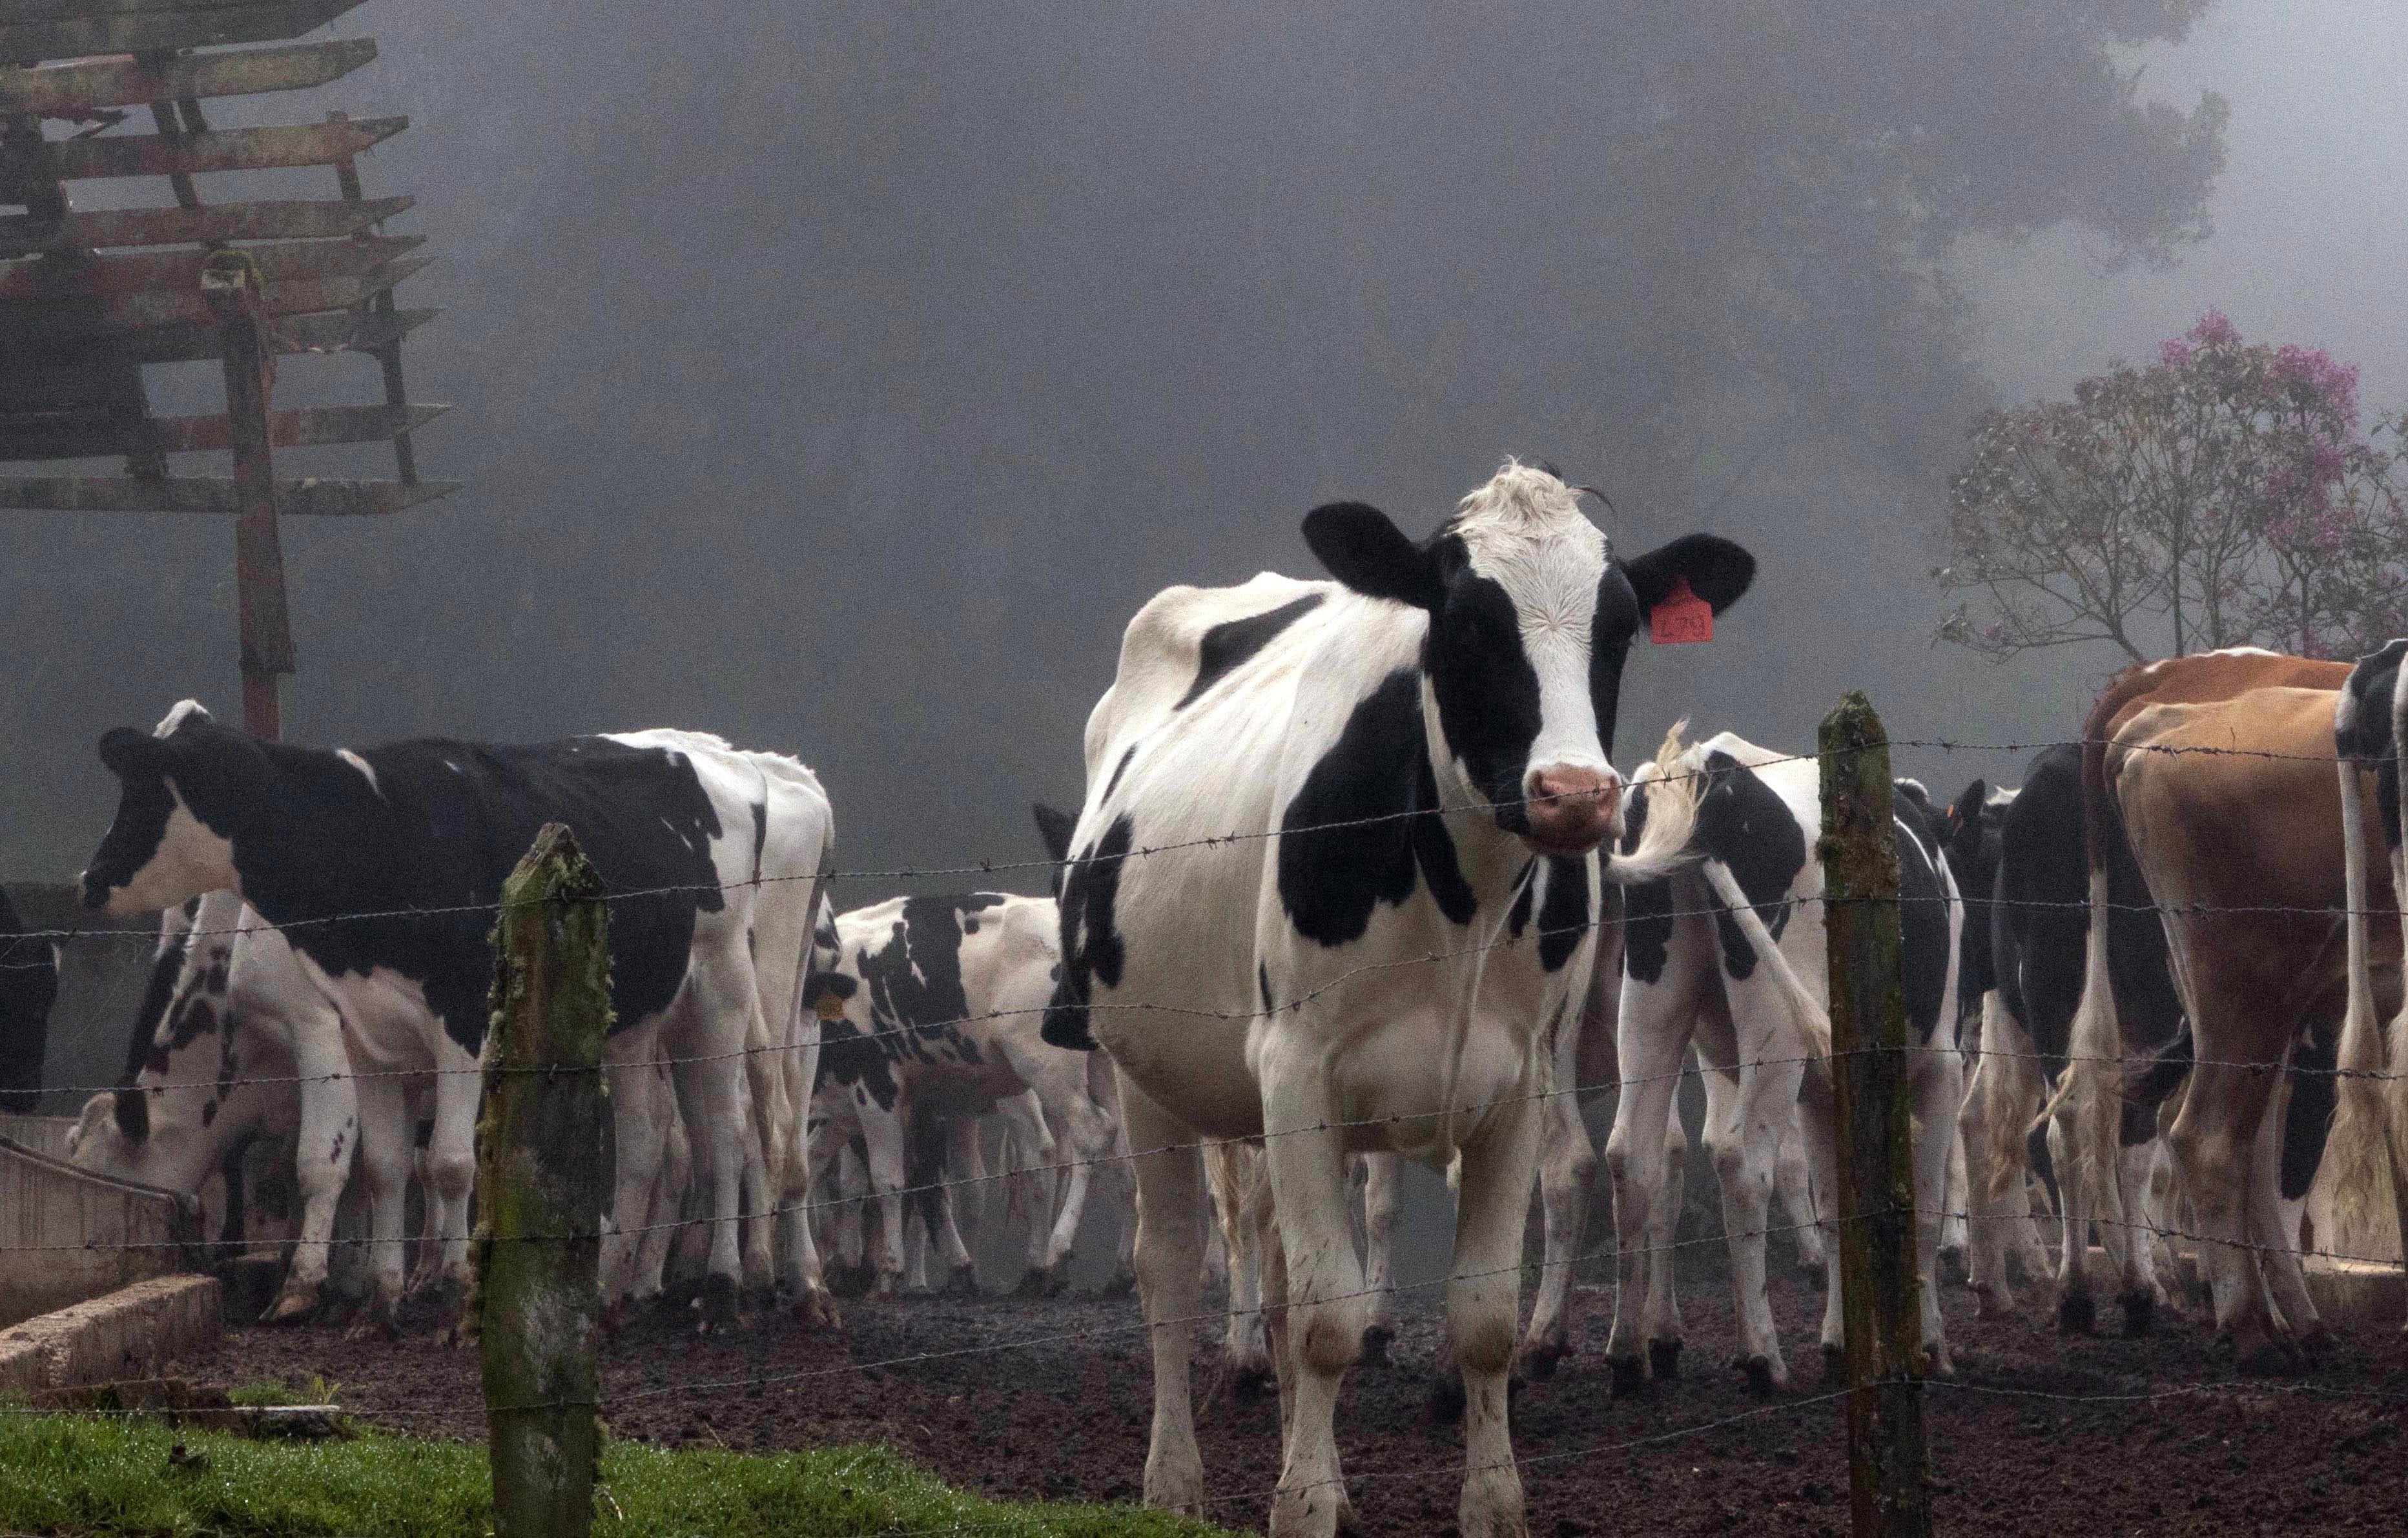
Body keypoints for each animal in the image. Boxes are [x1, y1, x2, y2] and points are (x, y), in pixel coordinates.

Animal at [75, 702, 835, 1330]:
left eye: (143, 795)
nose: (88, 882)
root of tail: (755, 767)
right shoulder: (368, 1033)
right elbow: (384, 1166)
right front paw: (381, 1295)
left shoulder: (389, 1027)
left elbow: (401, 1164)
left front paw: (374, 1287)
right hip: (642, 1021)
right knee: (654, 1142)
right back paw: (620, 1287)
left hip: (731, 994)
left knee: (733, 1135)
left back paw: (732, 1286)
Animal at [1045, 461, 1753, 1536]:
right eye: (1463, 621)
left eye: (1621, 626)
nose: (1575, 792)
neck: (1463, 899)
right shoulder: (1296, 1070)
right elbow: (1327, 1321)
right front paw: (1298, 1508)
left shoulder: (1517, 1085)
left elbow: (1482, 1317)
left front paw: (1486, 1504)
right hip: (1148, 1071)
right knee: (1169, 1264)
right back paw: (1174, 1483)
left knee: (1278, 1272)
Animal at [1603, 728, 1964, 1393]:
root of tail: (1704, 763)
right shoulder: (1940, 1066)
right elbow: (1922, 1211)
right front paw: (1929, 1344)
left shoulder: (1825, 1090)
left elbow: (1838, 1207)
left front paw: (1841, 1342)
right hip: (1775, 1026)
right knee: (1741, 1162)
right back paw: (1762, 1357)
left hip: (1650, 1000)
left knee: (1631, 1156)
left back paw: (1626, 1355)